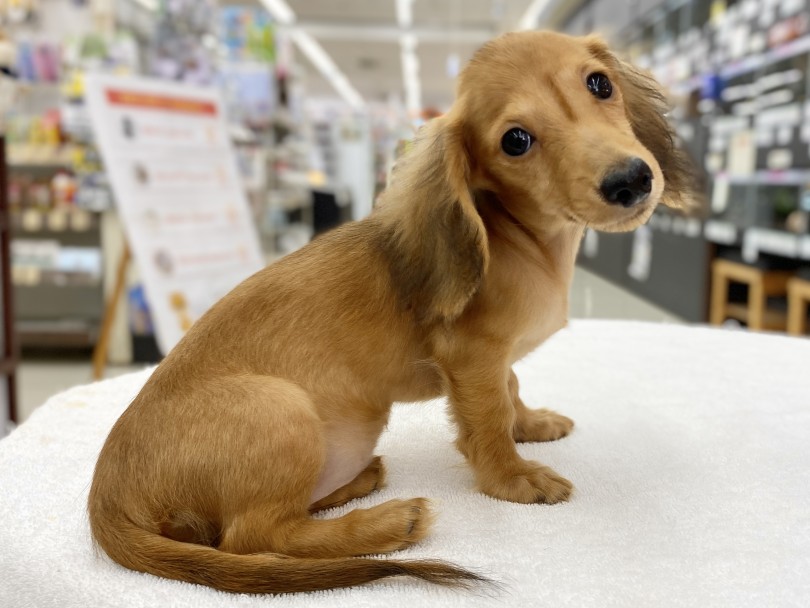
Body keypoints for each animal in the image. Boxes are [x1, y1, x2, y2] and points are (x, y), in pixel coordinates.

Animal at [91, 29, 692, 592]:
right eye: (515, 140)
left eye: (600, 84)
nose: (631, 180)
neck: (525, 241)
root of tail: (106, 497)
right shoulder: (471, 355)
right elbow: (489, 419)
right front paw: (514, 479)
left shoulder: (495, 359)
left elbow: (512, 388)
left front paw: (532, 423)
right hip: (280, 409)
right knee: (253, 537)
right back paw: (385, 523)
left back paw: (356, 485)